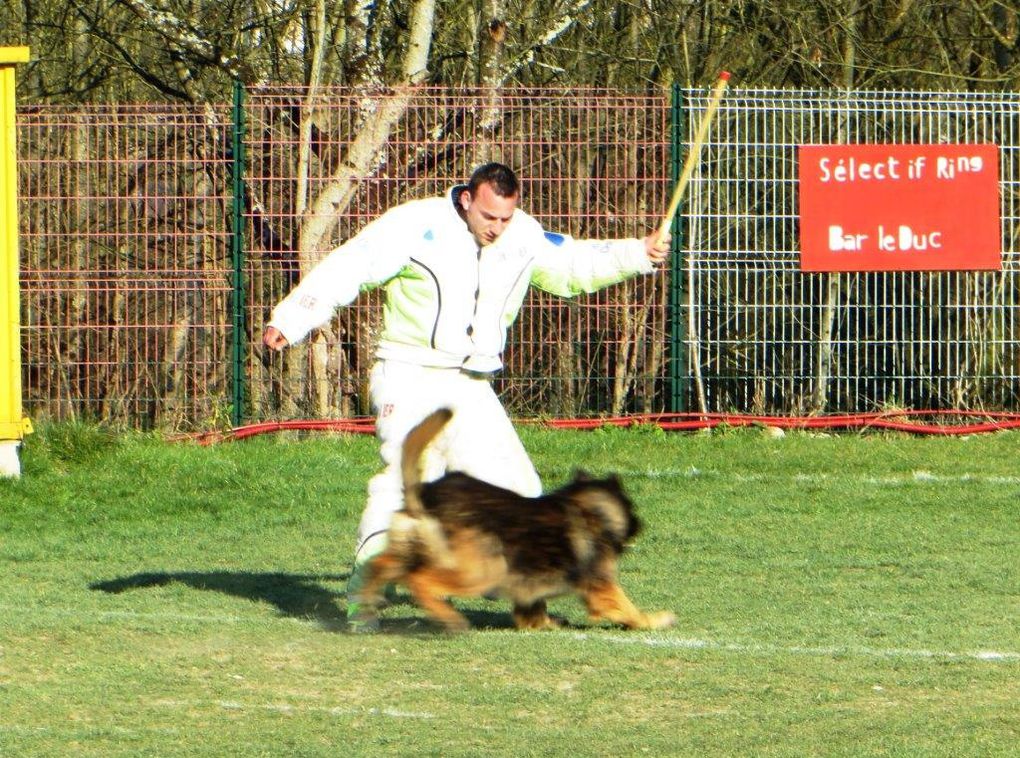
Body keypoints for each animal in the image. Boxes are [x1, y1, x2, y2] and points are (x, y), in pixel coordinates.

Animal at [352, 410, 677, 632]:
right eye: (632, 508)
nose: (641, 524)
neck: (590, 506)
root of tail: (423, 494)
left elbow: (531, 610)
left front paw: (544, 624)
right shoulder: (602, 588)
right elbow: (627, 608)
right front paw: (654, 619)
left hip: (409, 550)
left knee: (379, 565)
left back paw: (365, 603)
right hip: (484, 567)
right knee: (419, 580)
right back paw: (449, 618)